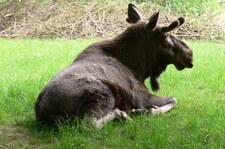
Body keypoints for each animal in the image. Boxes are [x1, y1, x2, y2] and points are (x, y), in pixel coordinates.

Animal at [35, 4, 193, 129]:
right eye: (166, 37)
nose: (189, 54)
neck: (140, 68)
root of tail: (42, 112)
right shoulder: (141, 96)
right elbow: (173, 99)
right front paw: (149, 111)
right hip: (104, 95)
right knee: (89, 124)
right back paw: (121, 114)